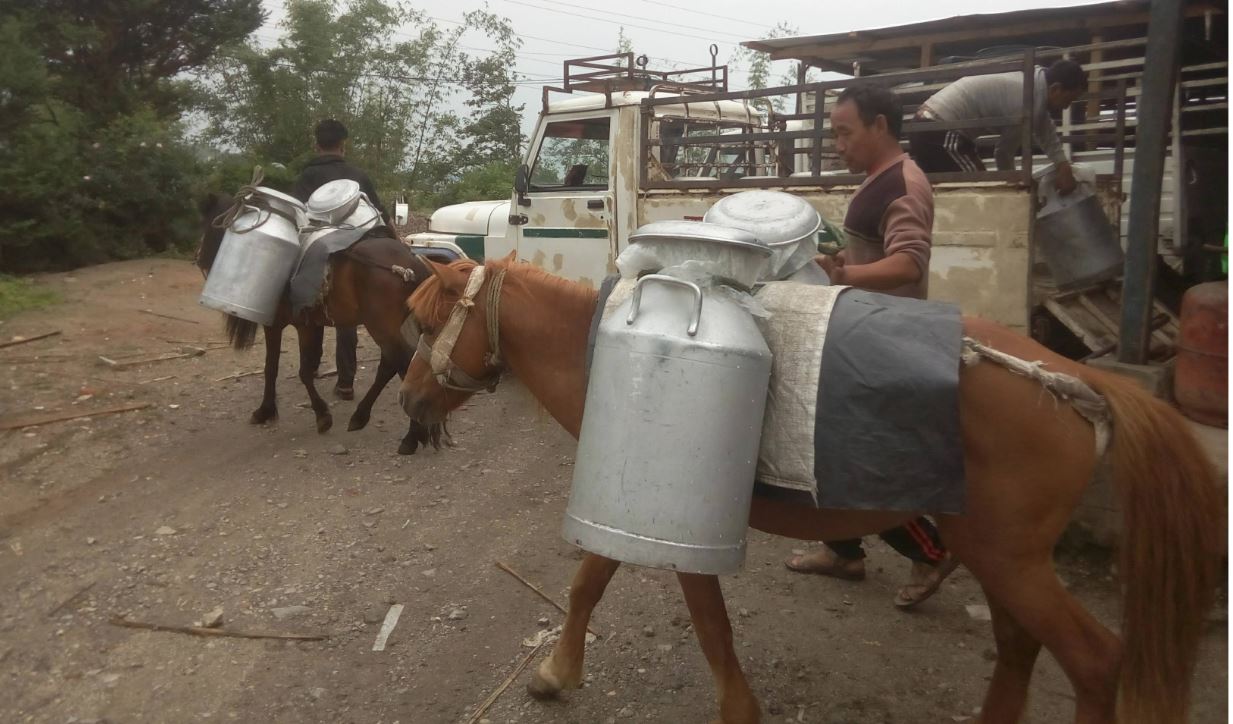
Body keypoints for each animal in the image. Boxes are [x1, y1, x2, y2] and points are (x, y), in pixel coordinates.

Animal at [197, 192, 453, 453]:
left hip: (382, 326)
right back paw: (363, 417)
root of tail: (410, 263)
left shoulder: (279, 325)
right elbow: (301, 368)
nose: (200, 259)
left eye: (209, 226)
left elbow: (280, 369)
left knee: (399, 363)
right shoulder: (310, 325)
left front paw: (287, 412)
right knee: (394, 364)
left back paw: (408, 436)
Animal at [397, 256, 1223, 724]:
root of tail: (1076, 380)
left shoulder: (680, 531)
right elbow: (586, 585)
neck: (605, 353)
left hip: (1009, 557)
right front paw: (556, 673)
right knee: (1020, 643)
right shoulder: (628, 508)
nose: (405, 402)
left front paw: (737, 709)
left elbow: (710, 629)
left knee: (1093, 660)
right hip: (998, 554)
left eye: (426, 324)